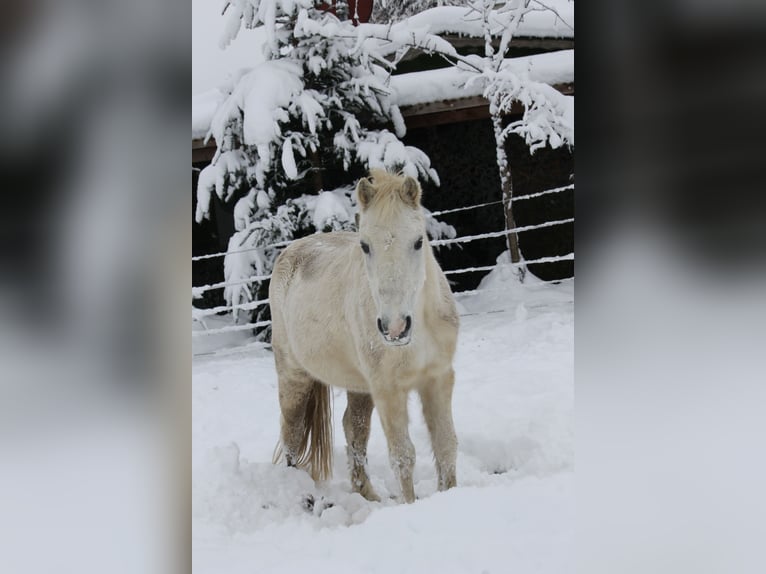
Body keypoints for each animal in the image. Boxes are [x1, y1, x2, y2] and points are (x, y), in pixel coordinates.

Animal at [272, 171, 456, 504]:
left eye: (418, 241)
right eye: (365, 246)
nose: (395, 327)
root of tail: (290, 253)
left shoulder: (438, 379)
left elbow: (446, 444)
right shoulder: (388, 390)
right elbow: (403, 456)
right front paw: (411, 505)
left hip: (359, 387)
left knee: (353, 429)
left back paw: (367, 495)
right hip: (293, 378)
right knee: (292, 434)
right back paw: (302, 496)